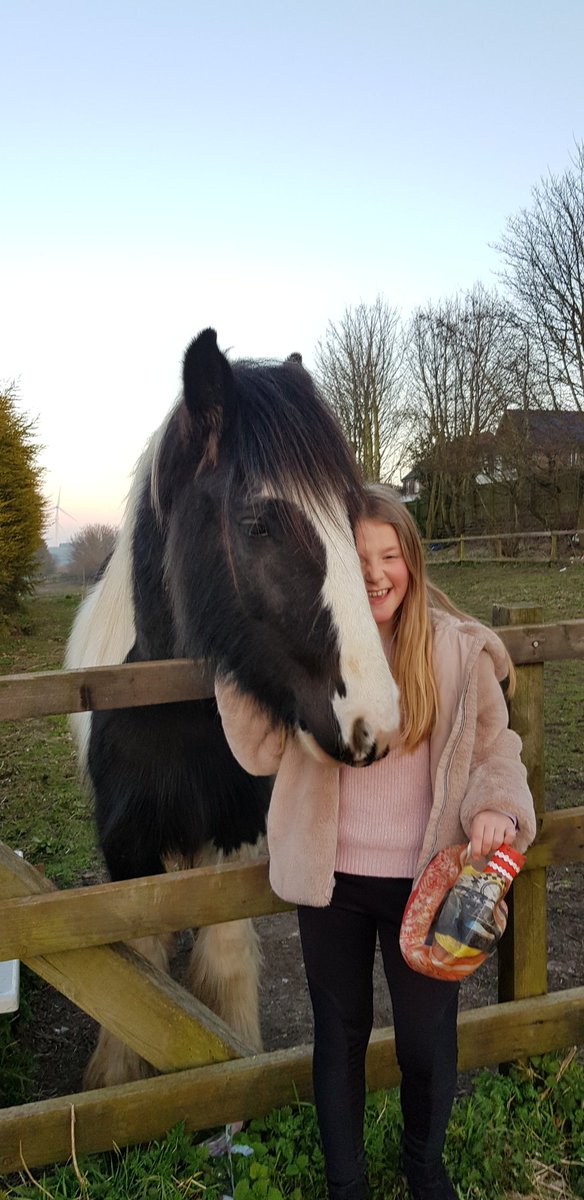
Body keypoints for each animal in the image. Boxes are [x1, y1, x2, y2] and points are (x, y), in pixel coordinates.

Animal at [65, 328, 400, 1087]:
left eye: (348, 513)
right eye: (258, 523)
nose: (376, 720)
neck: (166, 713)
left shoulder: (232, 828)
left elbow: (221, 957)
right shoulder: (127, 848)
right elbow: (138, 970)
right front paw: (117, 1078)